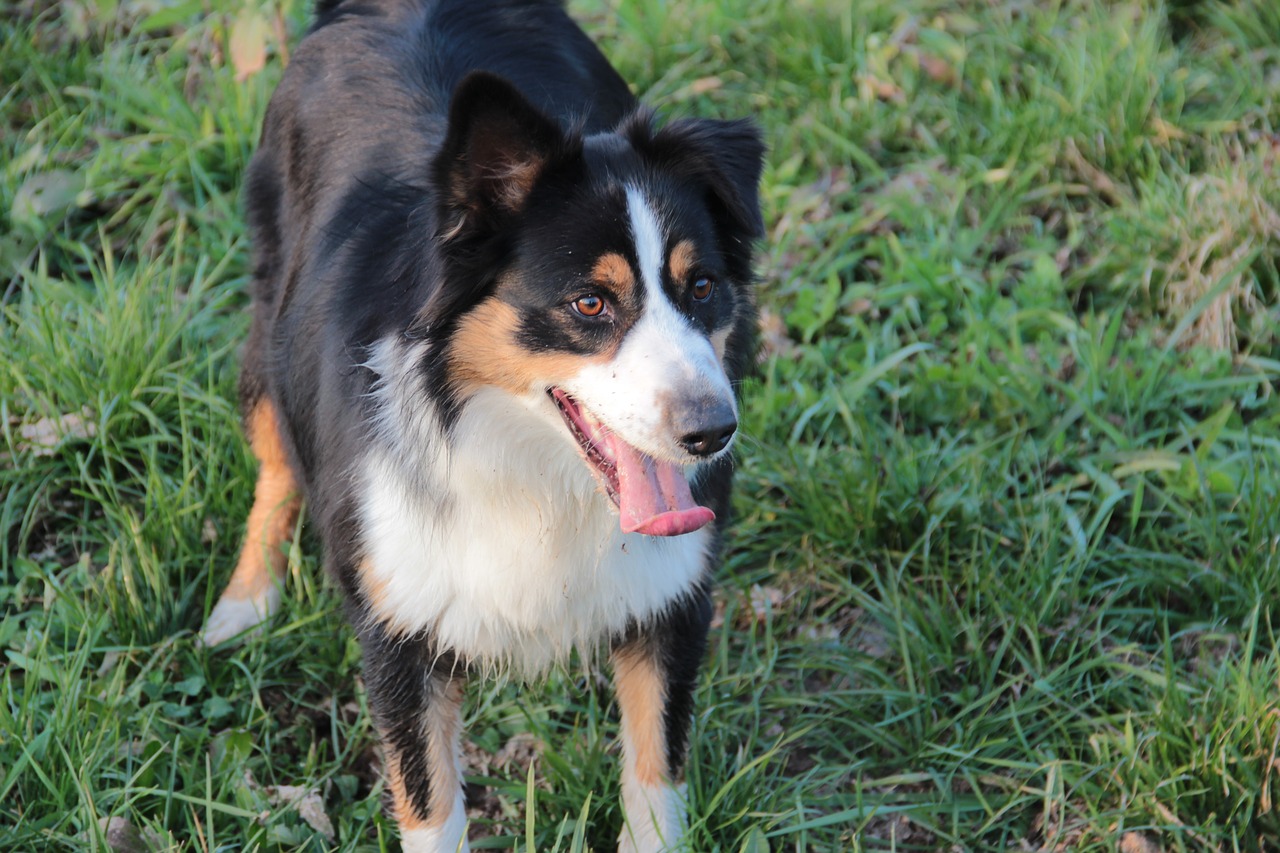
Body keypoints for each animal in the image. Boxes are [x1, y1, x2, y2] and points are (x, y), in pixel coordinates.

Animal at [199, 3, 757, 845]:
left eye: (702, 286)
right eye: (590, 302)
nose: (712, 432)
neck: (530, 470)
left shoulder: (672, 598)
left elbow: (655, 775)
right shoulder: (397, 624)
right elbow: (430, 803)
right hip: (270, 320)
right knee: (274, 457)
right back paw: (245, 600)